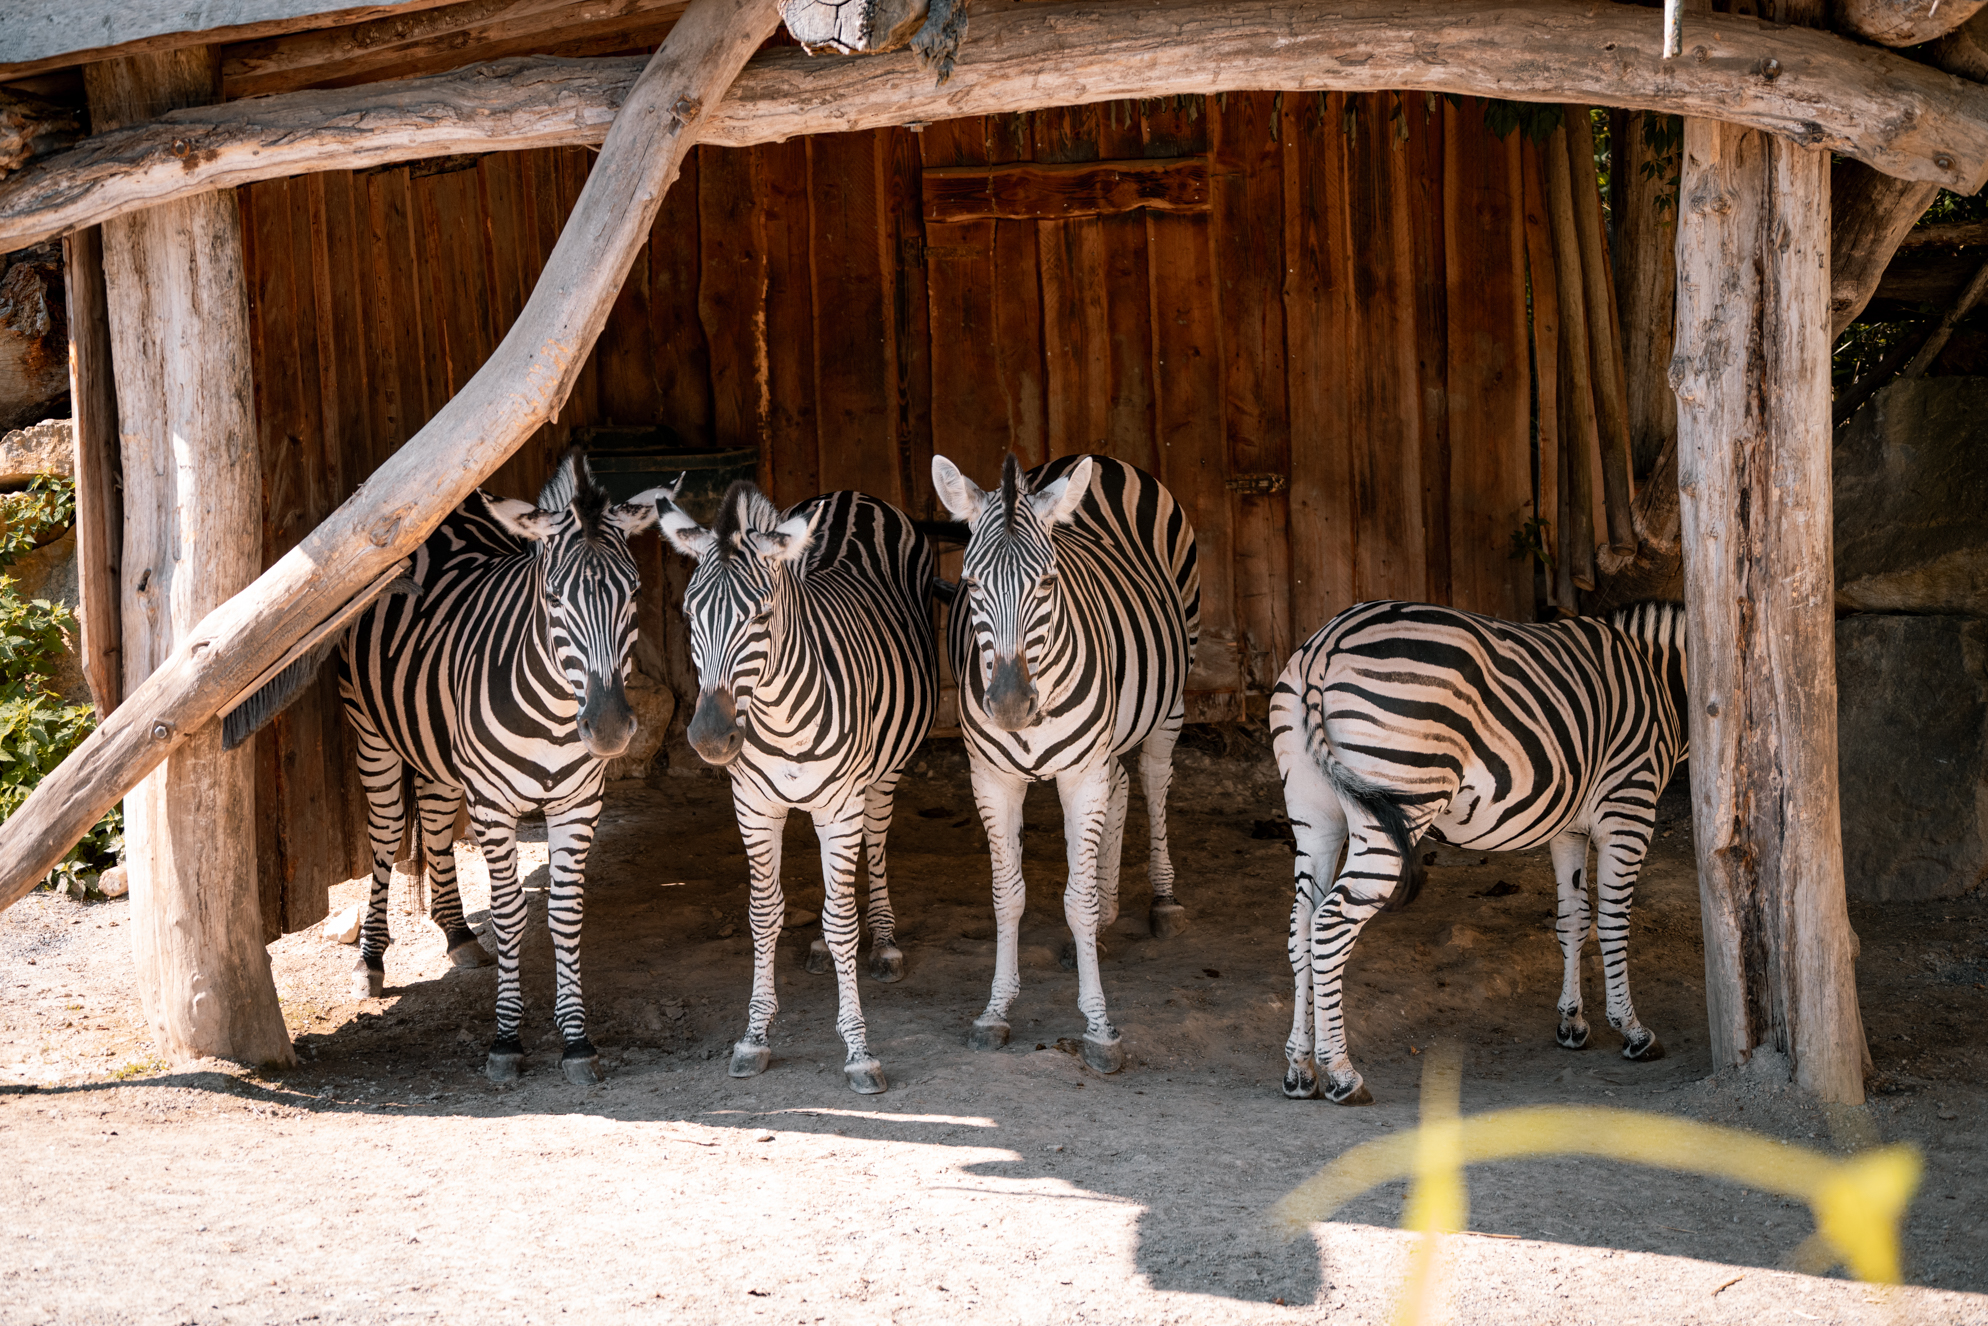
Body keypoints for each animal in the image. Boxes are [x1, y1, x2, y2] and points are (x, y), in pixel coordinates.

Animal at [338, 448, 665, 1086]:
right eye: (555, 599)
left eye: (634, 592)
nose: (610, 729)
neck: (558, 712)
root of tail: (440, 515)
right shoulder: (493, 805)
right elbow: (513, 914)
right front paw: (507, 1039)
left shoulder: (579, 803)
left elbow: (565, 912)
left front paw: (576, 1039)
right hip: (370, 730)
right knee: (386, 835)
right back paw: (370, 960)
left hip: (438, 748)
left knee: (436, 821)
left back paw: (459, 934)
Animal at [660, 482, 939, 1095]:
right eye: (689, 614)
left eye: (762, 615)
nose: (711, 737)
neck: (778, 714)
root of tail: (851, 494)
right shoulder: (754, 806)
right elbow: (765, 914)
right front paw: (754, 1036)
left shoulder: (842, 803)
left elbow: (841, 921)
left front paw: (859, 1051)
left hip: (881, 774)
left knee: (876, 844)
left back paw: (883, 941)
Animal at [930, 453, 1200, 1075]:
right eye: (971, 584)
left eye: (1048, 582)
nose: (1009, 705)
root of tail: (1099, 460)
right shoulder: (991, 778)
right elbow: (1008, 895)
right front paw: (995, 1011)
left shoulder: (1080, 775)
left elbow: (1075, 901)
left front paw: (1099, 1026)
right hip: (1108, 739)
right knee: (1121, 784)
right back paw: (1109, 911)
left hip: (1171, 694)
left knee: (1153, 779)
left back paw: (1162, 900)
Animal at [1268, 599, 1689, 1104]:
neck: (1662, 679)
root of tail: (1324, 645)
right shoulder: (1629, 806)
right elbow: (1613, 923)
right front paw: (1632, 1030)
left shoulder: (1569, 827)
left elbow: (1573, 919)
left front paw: (1572, 1022)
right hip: (1395, 806)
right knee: (1331, 924)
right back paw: (1342, 1074)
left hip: (1315, 814)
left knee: (1302, 925)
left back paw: (1299, 1069)